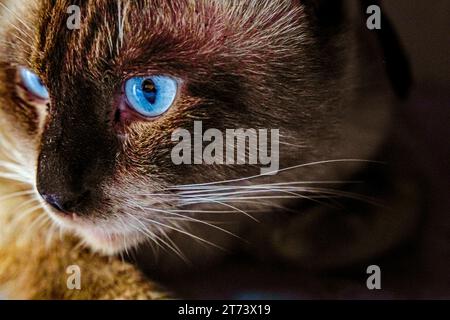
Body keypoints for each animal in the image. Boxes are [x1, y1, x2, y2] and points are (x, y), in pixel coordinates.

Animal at [0, 0, 426, 300]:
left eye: (149, 93)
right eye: (33, 84)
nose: (54, 198)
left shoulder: (370, 135)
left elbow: (402, 199)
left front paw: (293, 234)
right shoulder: (17, 207)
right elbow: (82, 270)